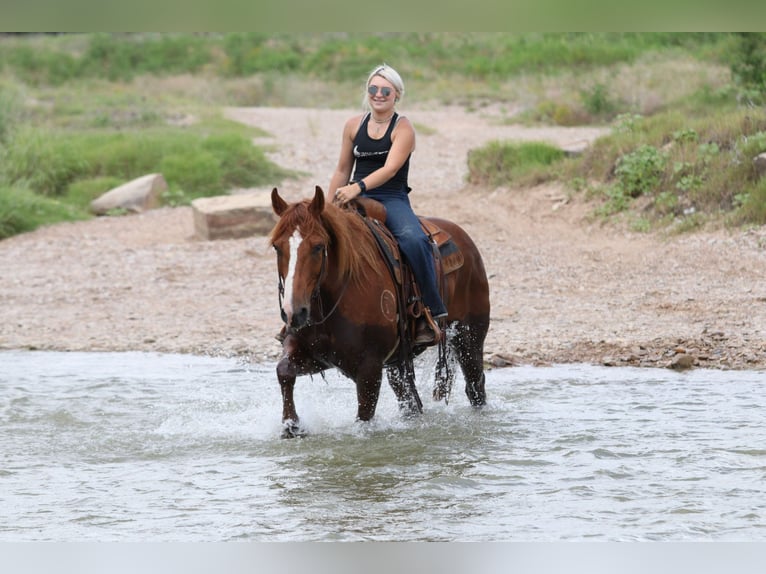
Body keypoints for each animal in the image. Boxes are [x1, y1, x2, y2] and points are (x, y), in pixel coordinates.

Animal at [269, 186, 490, 438]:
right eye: (277, 247)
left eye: (318, 247)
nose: (293, 312)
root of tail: (465, 240)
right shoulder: (313, 354)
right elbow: (284, 371)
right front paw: (291, 425)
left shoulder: (369, 369)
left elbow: (364, 417)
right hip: (399, 363)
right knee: (411, 403)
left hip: (469, 338)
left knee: (475, 387)